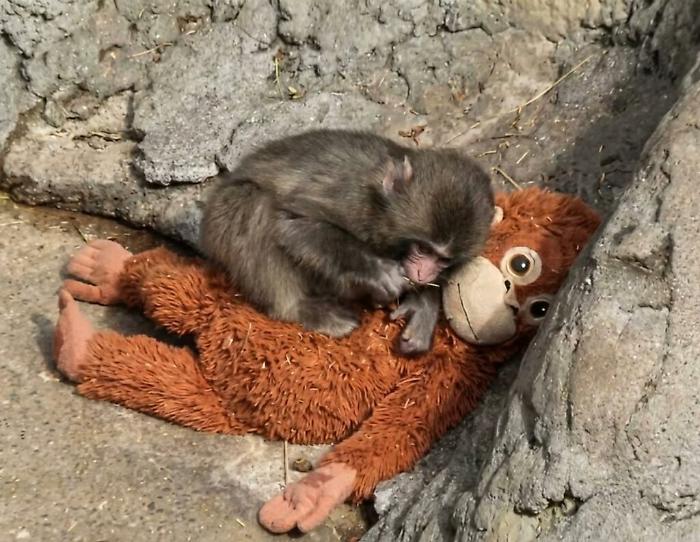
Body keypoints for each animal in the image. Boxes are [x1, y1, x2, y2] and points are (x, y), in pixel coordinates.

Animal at [200, 129, 494, 355]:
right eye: (422, 248)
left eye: (443, 259)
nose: (424, 272)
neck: (379, 206)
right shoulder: (349, 197)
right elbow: (293, 223)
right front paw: (379, 271)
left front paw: (423, 307)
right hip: (221, 219)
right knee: (254, 203)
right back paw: (298, 309)